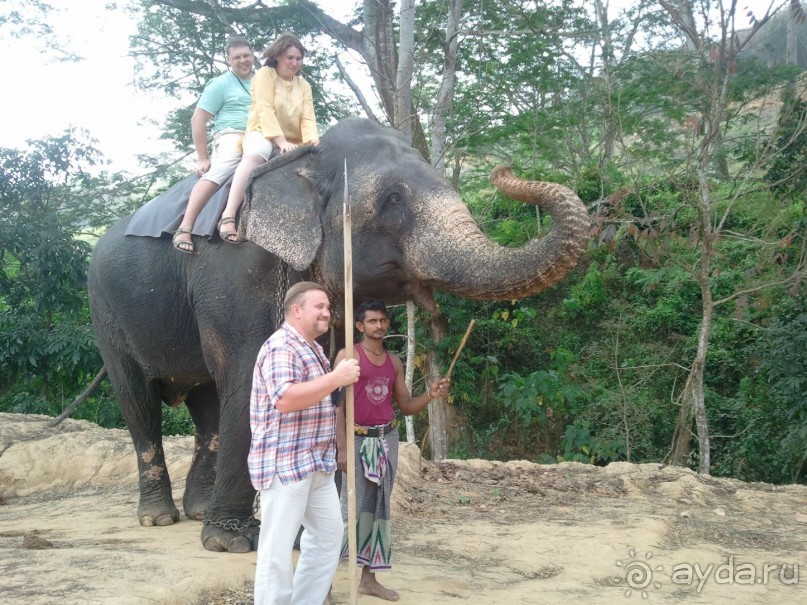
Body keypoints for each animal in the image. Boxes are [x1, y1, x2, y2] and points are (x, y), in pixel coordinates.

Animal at [87, 114, 588, 552]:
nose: (505, 171)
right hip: (105, 312)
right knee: (139, 403)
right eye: (392, 199)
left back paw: (194, 511)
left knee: (205, 403)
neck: (305, 164)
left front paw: (316, 538)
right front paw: (233, 543)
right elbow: (248, 377)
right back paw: (159, 518)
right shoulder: (232, 271)